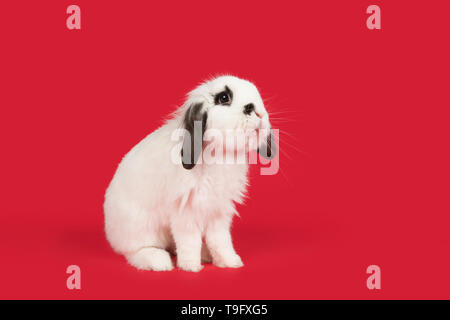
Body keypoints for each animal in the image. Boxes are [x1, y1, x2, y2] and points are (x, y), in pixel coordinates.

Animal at [103, 75, 276, 272]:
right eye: (223, 97)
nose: (259, 113)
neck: (219, 152)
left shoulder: (218, 211)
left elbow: (220, 240)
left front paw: (230, 262)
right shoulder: (185, 211)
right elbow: (189, 240)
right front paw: (191, 267)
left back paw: (204, 255)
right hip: (140, 229)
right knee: (135, 251)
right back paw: (160, 261)